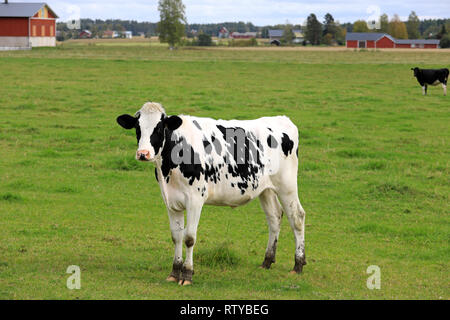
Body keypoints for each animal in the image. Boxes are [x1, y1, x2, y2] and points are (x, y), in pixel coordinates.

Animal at [116, 102, 306, 284]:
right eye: (138, 127)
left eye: (159, 127)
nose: (143, 153)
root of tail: (281, 119)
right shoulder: (171, 202)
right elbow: (176, 237)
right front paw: (174, 272)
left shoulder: (195, 200)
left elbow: (189, 238)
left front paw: (187, 274)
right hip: (265, 189)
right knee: (274, 217)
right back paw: (267, 261)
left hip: (287, 185)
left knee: (296, 217)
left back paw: (298, 264)